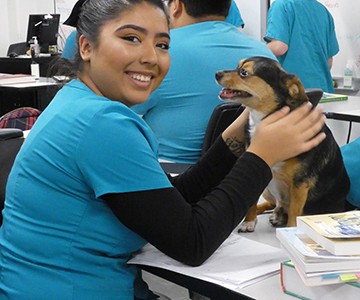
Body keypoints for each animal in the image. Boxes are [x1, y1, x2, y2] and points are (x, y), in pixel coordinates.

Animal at [215, 57, 350, 233]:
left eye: (243, 72)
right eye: (237, 66)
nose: (216, 73)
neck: (262, 120)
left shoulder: (300, 184)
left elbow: (294, 213)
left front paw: (291, 232)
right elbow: (251, 201)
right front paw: (248, 221)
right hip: (267, 188)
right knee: (273, 203)